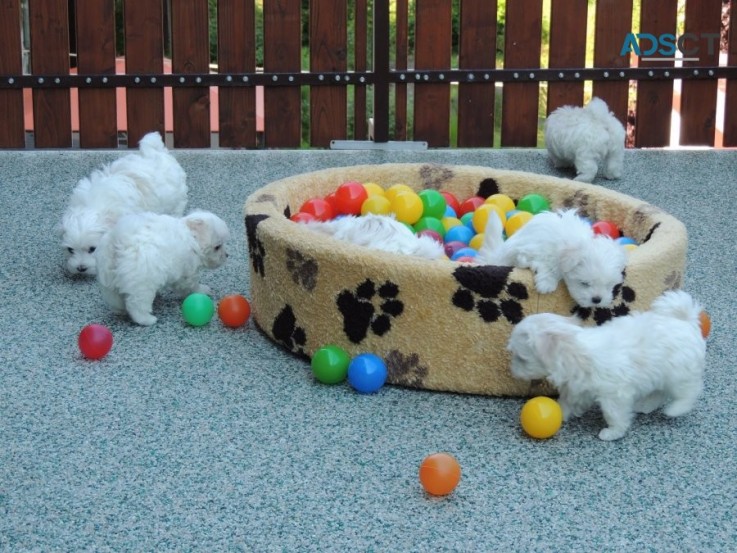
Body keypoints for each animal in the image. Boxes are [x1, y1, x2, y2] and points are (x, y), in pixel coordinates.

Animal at [60, 132, 188, 274]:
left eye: (92, 249)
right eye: (70, 250)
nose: (81, 268)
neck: (95, 206)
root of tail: (156, 151)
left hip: (177, 201)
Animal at [95, 209, 229, 326]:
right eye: (217, 247)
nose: (227, 255)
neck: (191, 237)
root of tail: (118, 241)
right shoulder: (188, 272)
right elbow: (191, 286)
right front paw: (202, 290)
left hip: (108, 278)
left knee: (114, 298)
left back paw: (121, 310)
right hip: (142, 282)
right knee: (136, 304)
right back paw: (147, 320)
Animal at [474, 207, 624, 306]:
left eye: (609, 285)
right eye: (584, 283)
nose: (597, 300)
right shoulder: (529, 251)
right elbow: (543, 264)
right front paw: (546, 283)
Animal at [506, 288, 708, 440]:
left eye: (521, 359)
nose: (513, 371)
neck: (574, 352)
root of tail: (686, 322)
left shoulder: (614, 393)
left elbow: (614, 413)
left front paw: (613, 432)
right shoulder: (577, 388)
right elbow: (567, 402)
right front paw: (561, 413)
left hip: (680, 374)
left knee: (690, 391)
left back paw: (675, 409)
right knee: (659, 393)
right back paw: (645, 406)